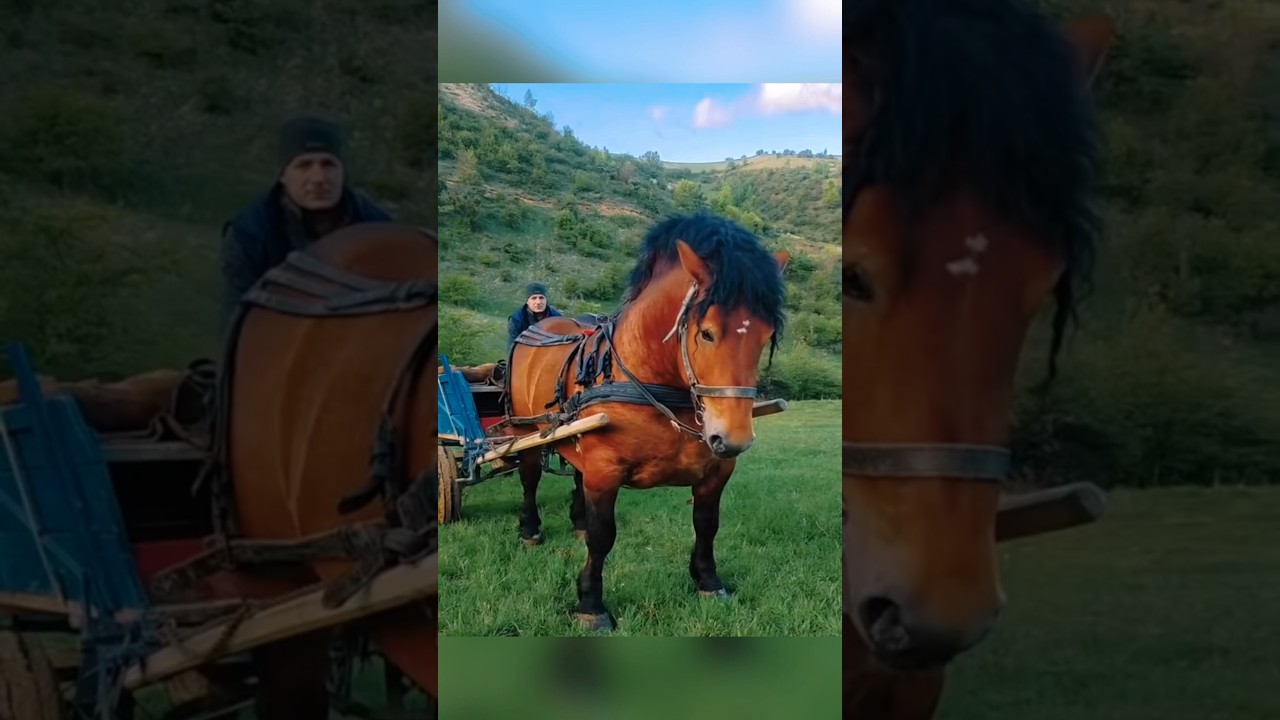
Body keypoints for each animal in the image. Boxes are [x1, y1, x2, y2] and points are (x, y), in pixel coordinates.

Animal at [502, 211, 788, 631]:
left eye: (766, 335)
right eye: (707, 333)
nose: (732, 438)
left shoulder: (717, 471)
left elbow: (707, 524)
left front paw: (708, 581)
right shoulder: (604, 470)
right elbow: (603, 536)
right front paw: (591, 603)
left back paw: (577, 521)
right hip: (526, 431)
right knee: (528, 479)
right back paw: (529, 528)